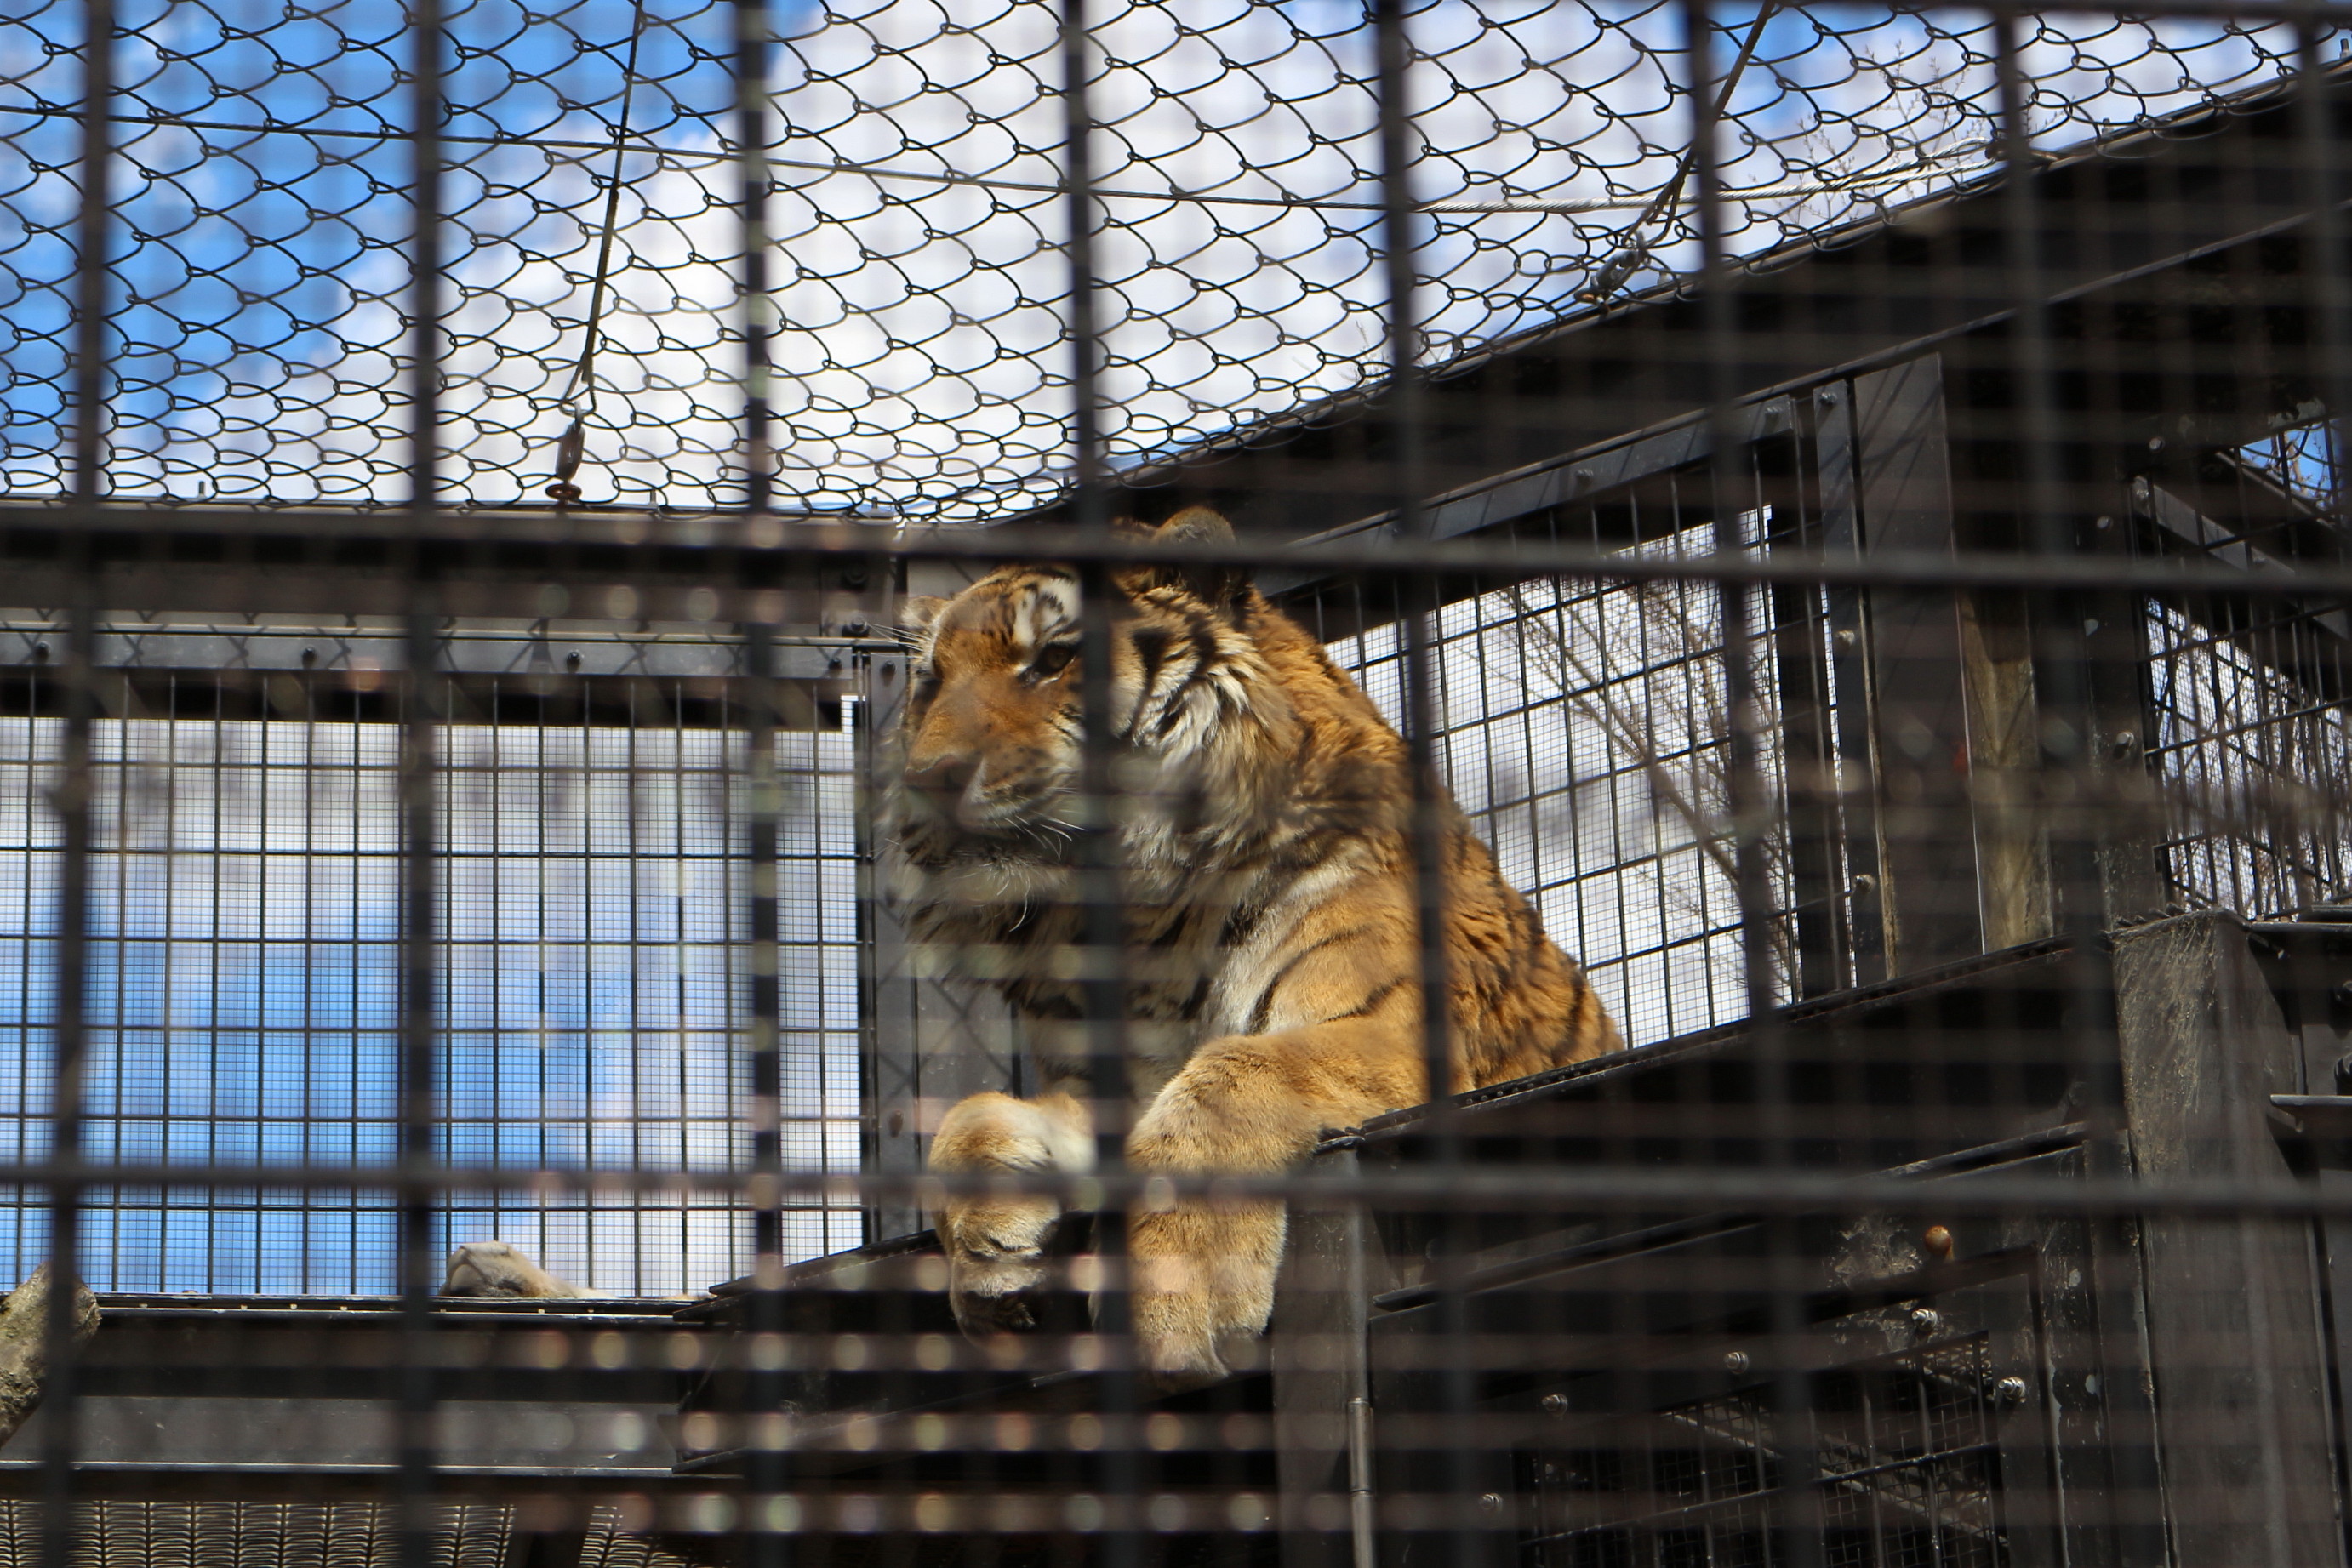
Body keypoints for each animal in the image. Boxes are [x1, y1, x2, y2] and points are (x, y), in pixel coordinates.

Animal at [889, 506, 1620, 1384]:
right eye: (932, 681)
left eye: (1054, 660)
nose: (930, 778)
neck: (1146, 924)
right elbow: (972, 1112)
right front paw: (989, 1265)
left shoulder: (1402, 1025)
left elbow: (1232, 1073)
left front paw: (1178, 1299)